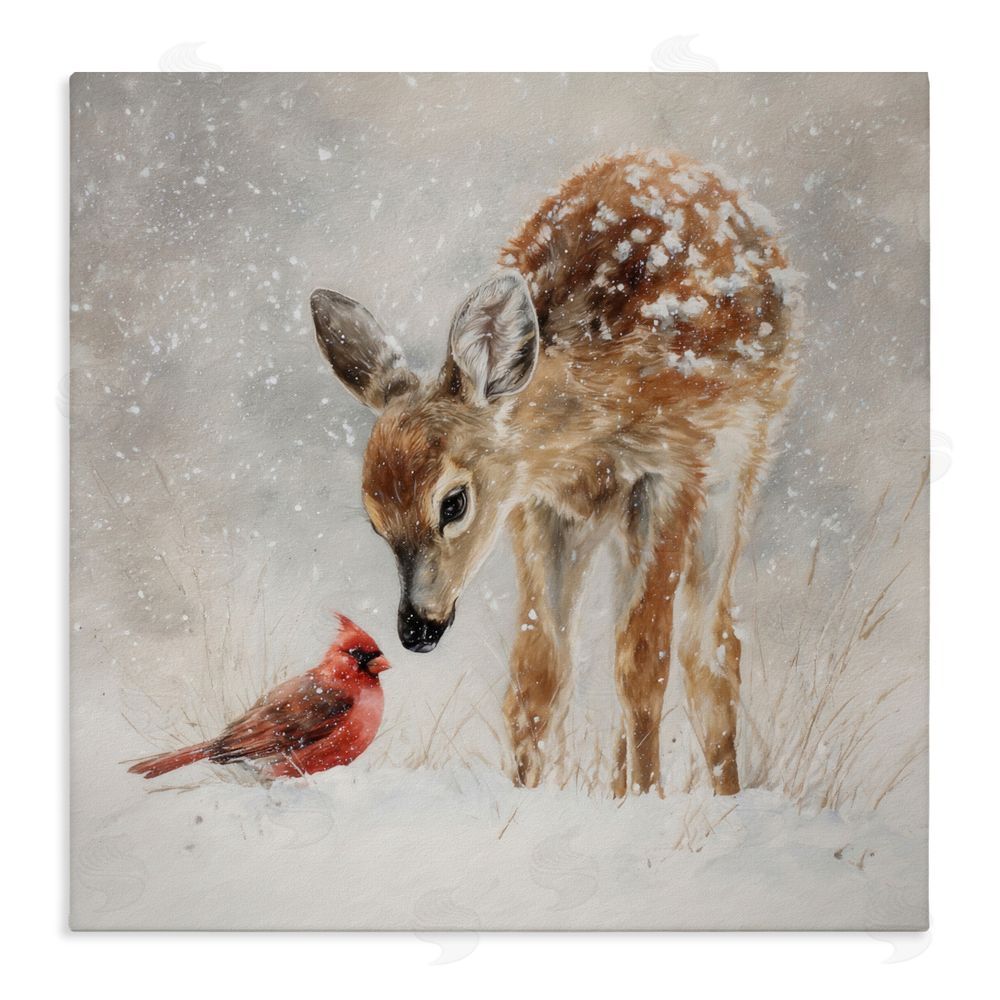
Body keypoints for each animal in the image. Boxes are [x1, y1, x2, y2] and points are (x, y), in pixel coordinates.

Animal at [311, 151, 801, 797]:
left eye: (453, 503)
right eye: (373, 521)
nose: (415, 629)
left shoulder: (674, 469)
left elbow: (644, 660)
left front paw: (647, 802)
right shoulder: (538, 505)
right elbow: (538, 669)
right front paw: (529, 794)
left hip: (736, 468)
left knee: (711, 650)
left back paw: (714, 795)